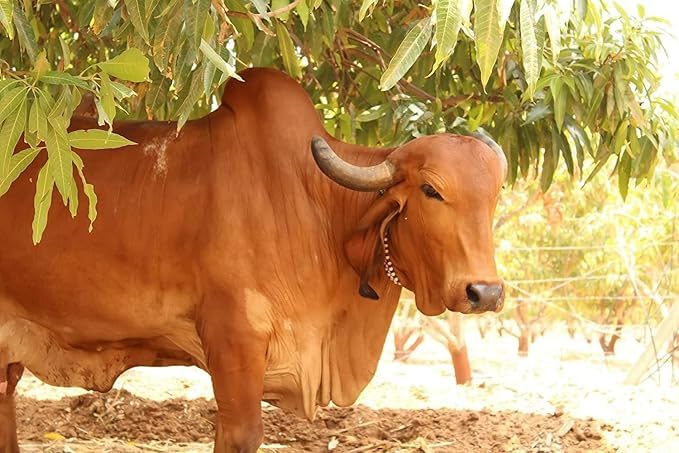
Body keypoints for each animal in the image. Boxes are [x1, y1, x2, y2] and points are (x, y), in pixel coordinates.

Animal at [0, 68, 506, 452]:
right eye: (431, 190)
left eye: (495, 195)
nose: (484, 292)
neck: (317, 206)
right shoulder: (234, 341)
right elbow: (241, 435)